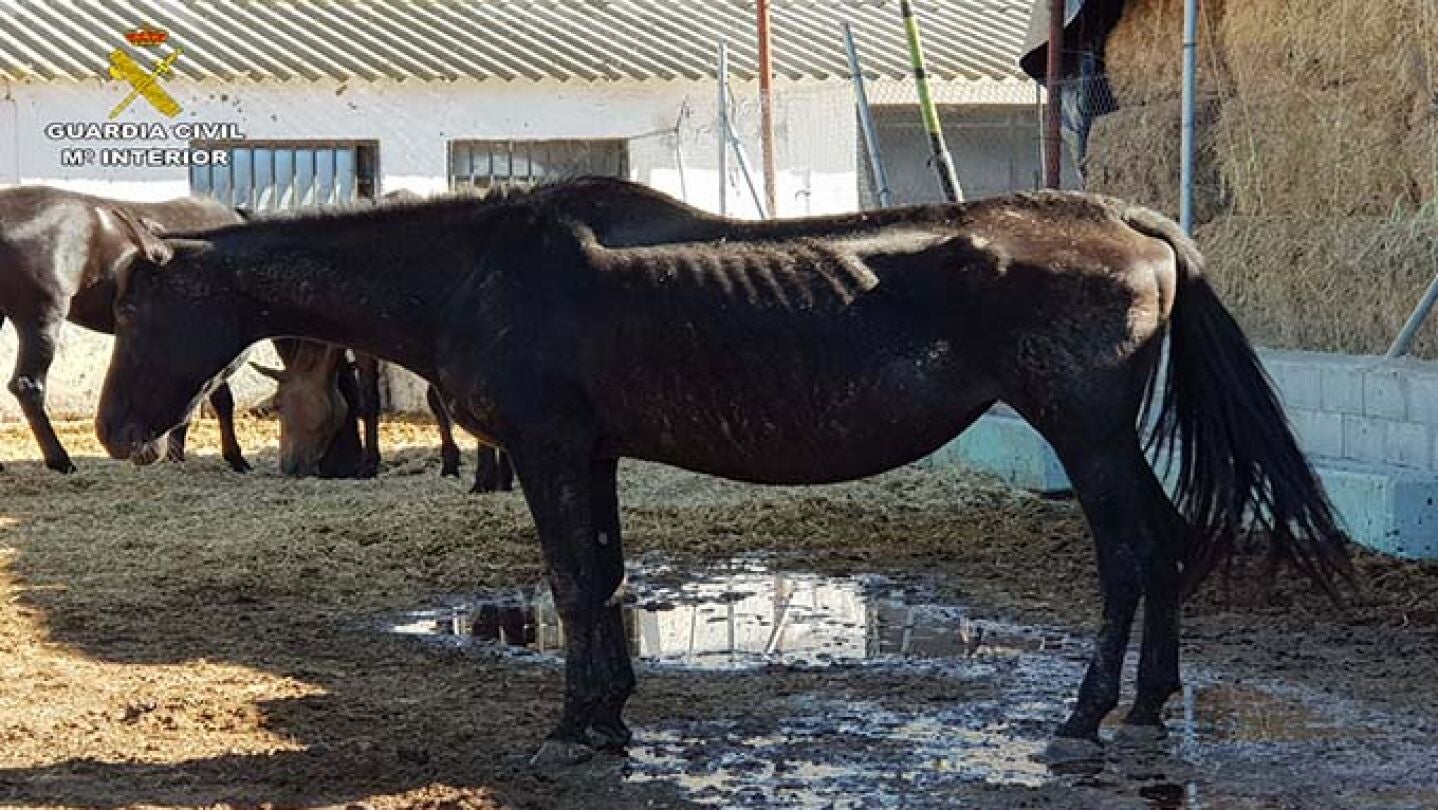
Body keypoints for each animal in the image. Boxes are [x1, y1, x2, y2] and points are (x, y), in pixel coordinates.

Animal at [0, 186, 250, 472]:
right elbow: (220, 399)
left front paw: (177, 453)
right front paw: (234, 456)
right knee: (28, 386)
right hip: (42, 319)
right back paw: (61, 460)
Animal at [95, 179, 1352, 768]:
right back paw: (1147, 703)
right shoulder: (590, 453)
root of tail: (1134, 223)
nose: (113, 432)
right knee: (1165, 542)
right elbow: (602, 583)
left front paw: (574, 727)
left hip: (1081, 428)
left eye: (141, 304)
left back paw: (1088, 714)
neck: (479, 269)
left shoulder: (549, 449)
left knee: (1132, 549)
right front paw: (607, 717)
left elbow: (573, 586)